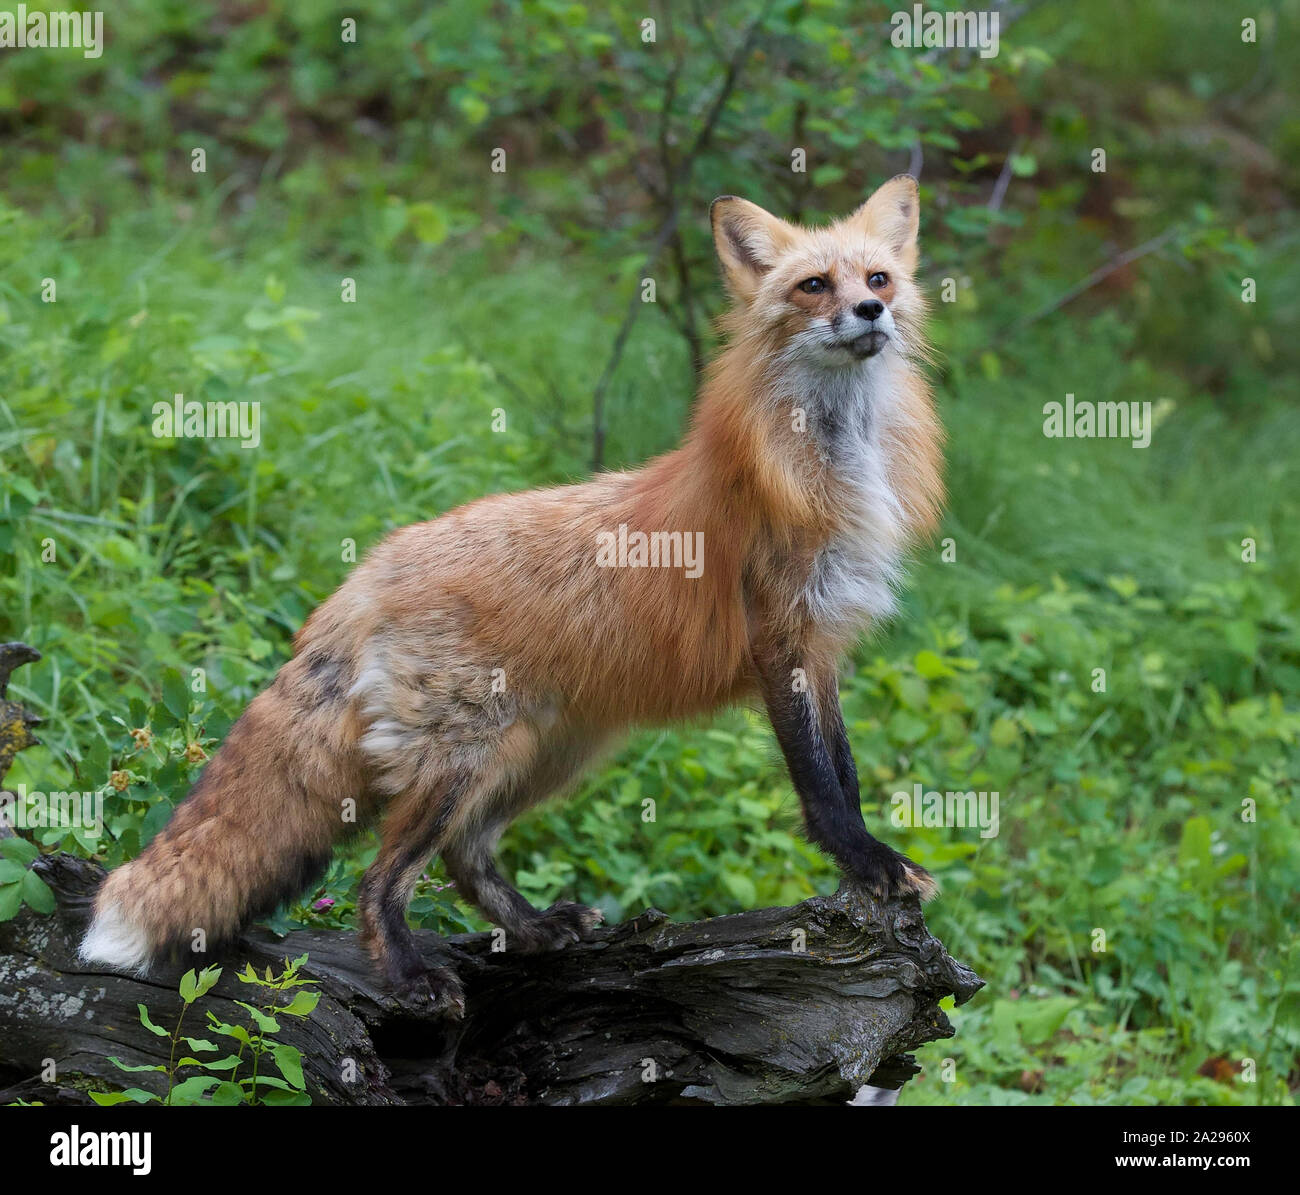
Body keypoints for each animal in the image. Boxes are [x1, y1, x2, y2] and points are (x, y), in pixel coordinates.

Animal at [80, 176, 944, 1015]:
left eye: (878, 278)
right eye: (813, 285)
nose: (871, 311)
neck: (837, 464)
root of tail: (364, 575)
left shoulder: (823, 645)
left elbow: (847, 770)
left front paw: (872, 860)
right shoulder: (780, 639)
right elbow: (820, 784)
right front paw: (868, 864)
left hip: (544, 755)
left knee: (467, 856)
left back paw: (531, 929)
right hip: (459, 762)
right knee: (379, 879)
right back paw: (409, 975)